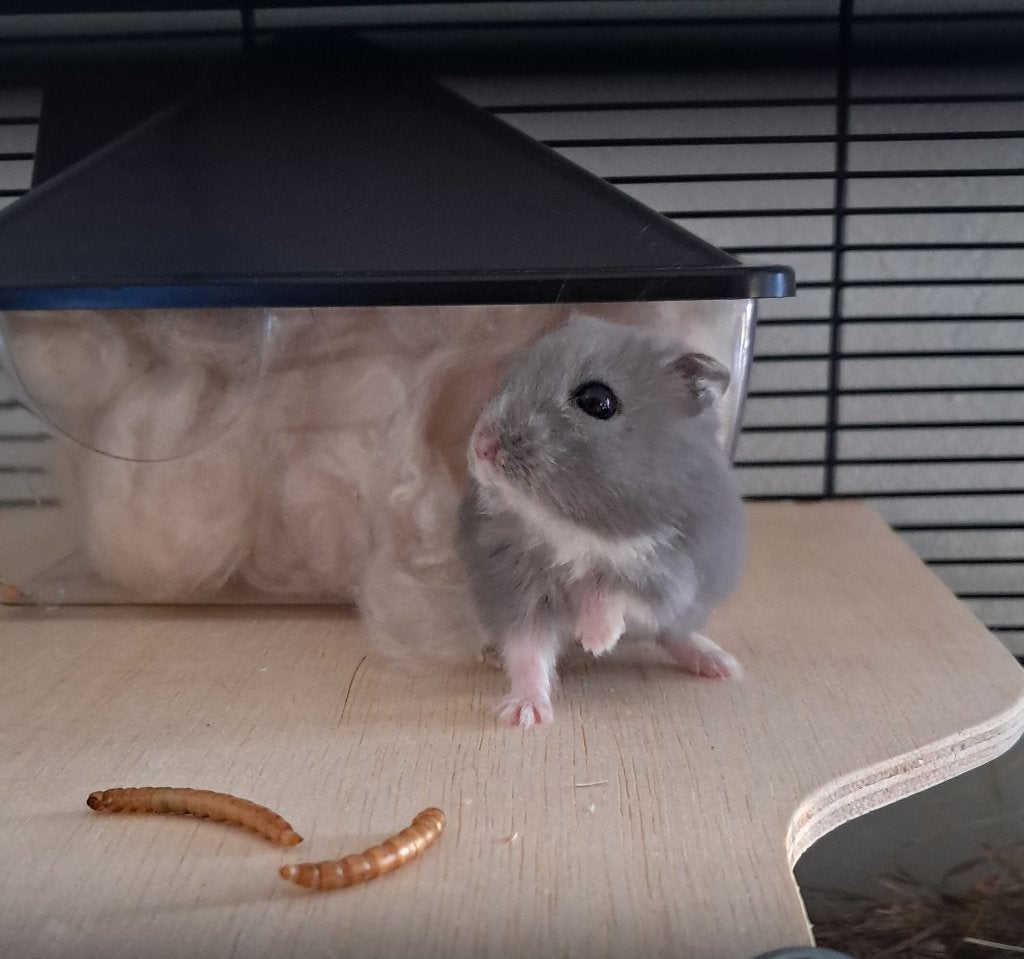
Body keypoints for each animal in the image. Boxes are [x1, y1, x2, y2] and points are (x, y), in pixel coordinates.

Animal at [455, 314, 745, 726]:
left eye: (597, 401)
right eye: (510, 377)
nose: (481, 447)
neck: (573, 528)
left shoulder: (673, 572)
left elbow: (612, 585)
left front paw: (595, 640)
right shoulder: (515, 586)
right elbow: (528, 651)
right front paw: (524, 715)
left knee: (673, 634)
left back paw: (722, 665)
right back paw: (491, 656)